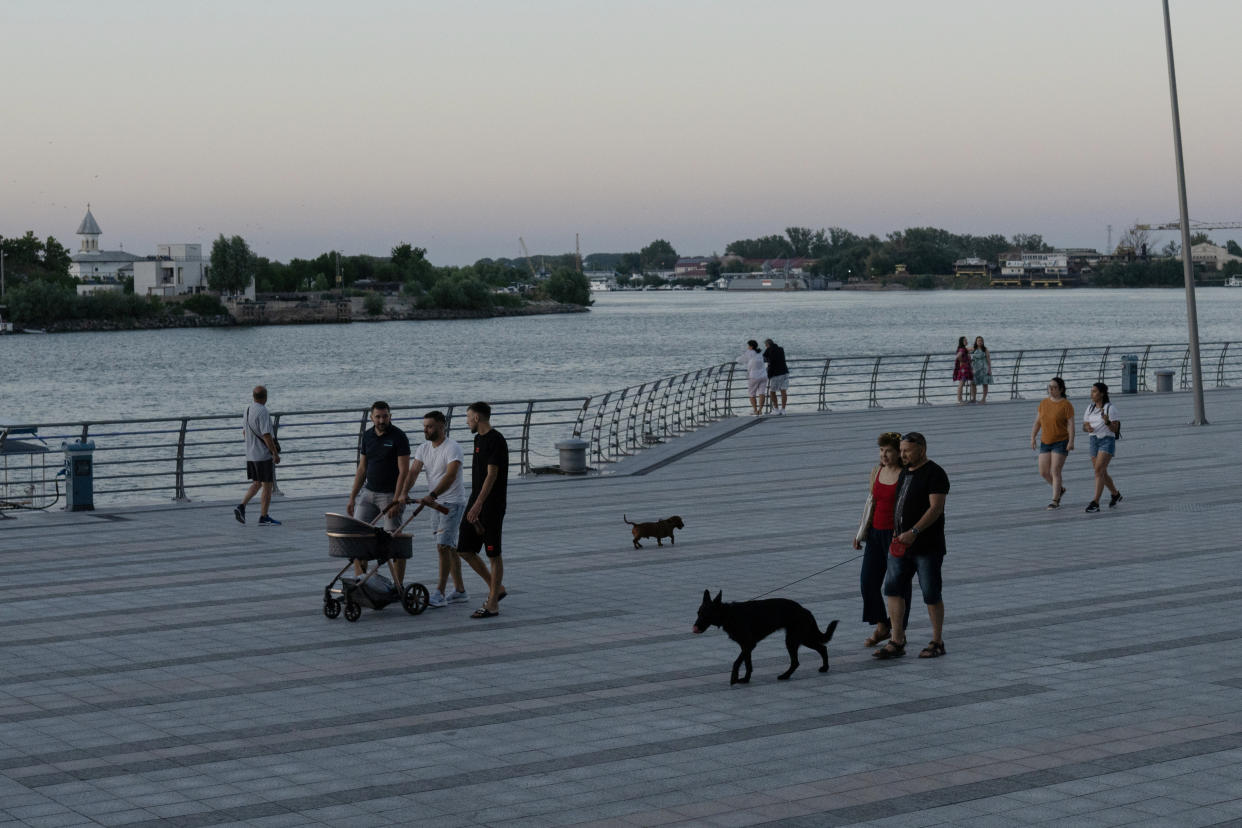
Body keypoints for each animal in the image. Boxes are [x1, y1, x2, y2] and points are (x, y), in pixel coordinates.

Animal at [695, 588, 839, 685]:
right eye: (698, 613)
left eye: (705, 615)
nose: (694, 627)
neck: (729, 614)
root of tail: (805, 610)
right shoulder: (746, 647)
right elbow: (748, 664)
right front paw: (746, 679)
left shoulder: (748, 644)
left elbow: (737, 662)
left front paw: (734, 678)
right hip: (803, 638)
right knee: (822, 648)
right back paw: (824, 668)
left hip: (793, 640)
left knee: (797, 661)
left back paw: (785, 676)